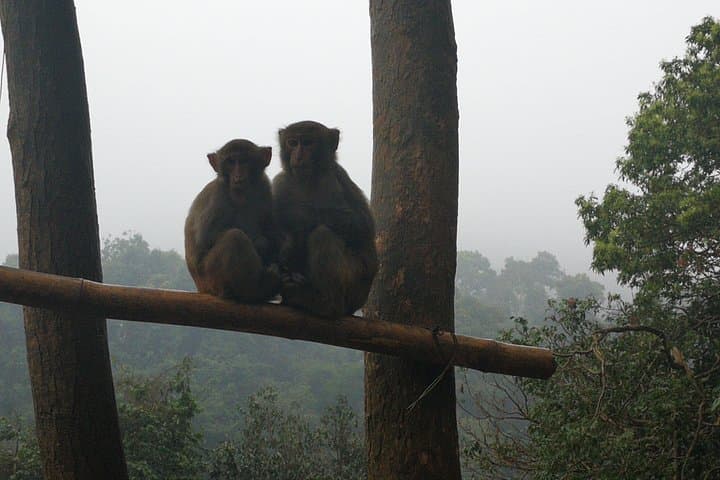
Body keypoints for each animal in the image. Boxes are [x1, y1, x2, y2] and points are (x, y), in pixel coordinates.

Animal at [184, 139, 280, 303]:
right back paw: (256, 291)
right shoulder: (218, 195)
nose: (238, 176)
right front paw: (260, 243)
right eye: (230, 162)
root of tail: (200, 288)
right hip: (210, 277)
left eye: (244, 161)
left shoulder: (264, 186)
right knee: (235, 237)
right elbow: (206, 239)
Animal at [272, 120, 377, 318]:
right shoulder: (281, 183)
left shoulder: (332, 180)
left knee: (322, 233)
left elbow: (361, 227)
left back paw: (327, 304)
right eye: (292, 143)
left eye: (308, 143)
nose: (298, 156)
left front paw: (296, 216)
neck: (306, 181)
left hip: (355, 285)